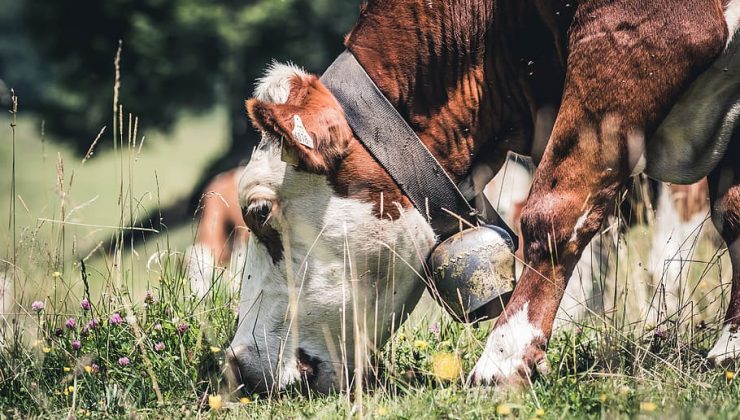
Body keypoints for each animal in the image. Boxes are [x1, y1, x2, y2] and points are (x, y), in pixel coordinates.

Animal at [227, 0, 740, 394]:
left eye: (259, 212)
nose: (240, 362)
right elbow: (732, 213)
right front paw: (730, 349)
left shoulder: (639, 33)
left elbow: (553, 212)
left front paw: (504, 357)